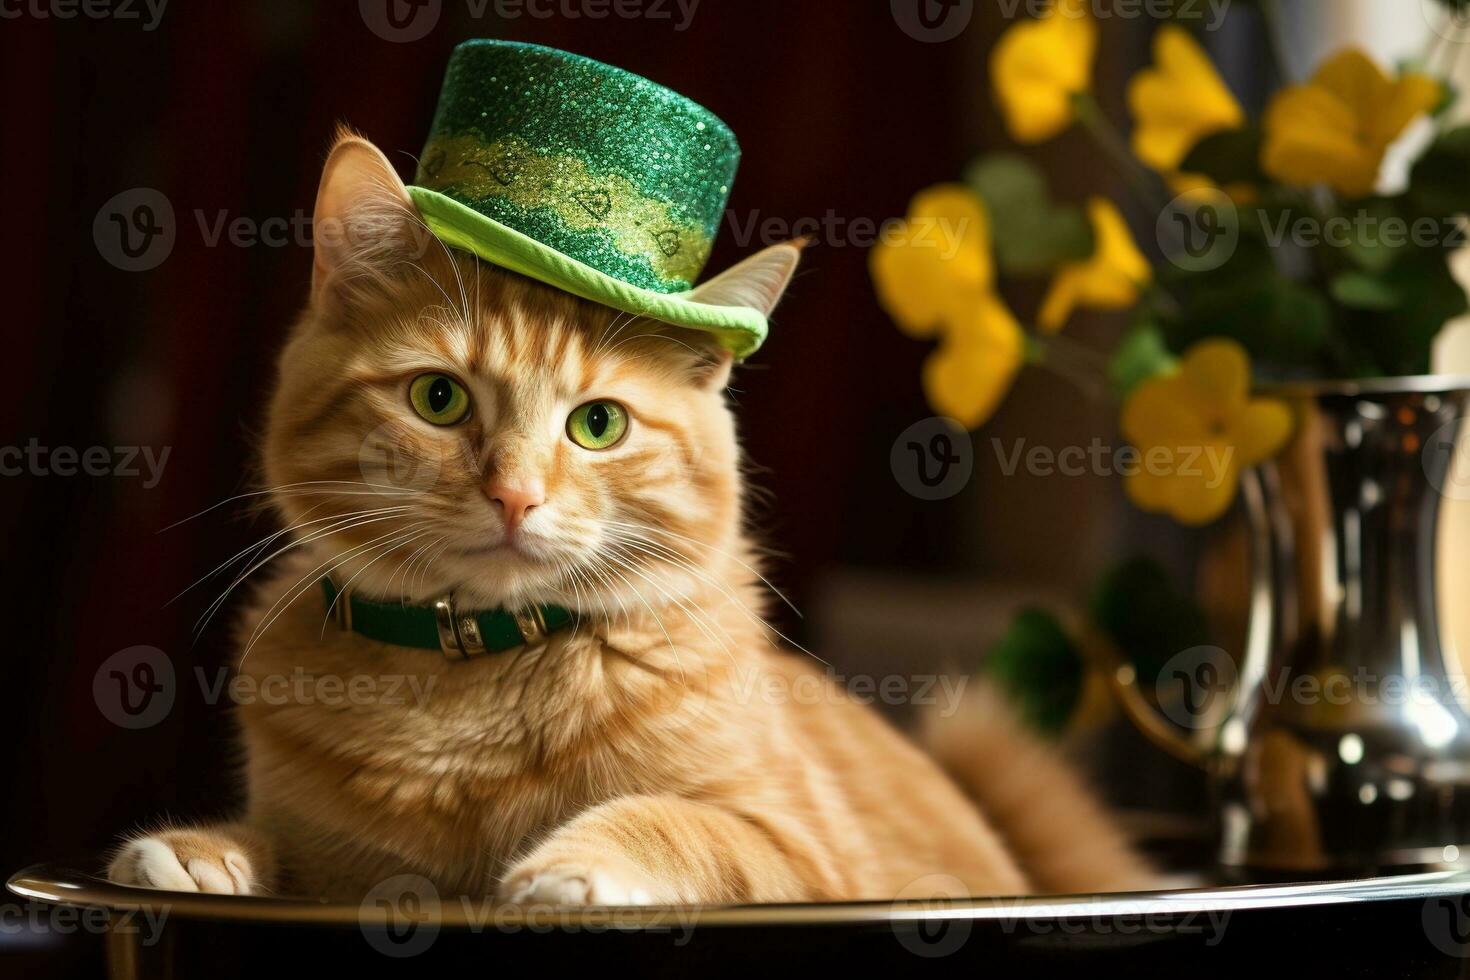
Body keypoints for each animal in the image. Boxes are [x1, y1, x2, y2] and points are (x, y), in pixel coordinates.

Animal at [108, 130, 1152, 905]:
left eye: (598, 424)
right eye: (439, 400)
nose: (514, 494)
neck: (470, 682)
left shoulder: (804, 853)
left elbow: (675, 821)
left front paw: (571, 865)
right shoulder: (331, 866)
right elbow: (276, 848)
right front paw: (202, 850)